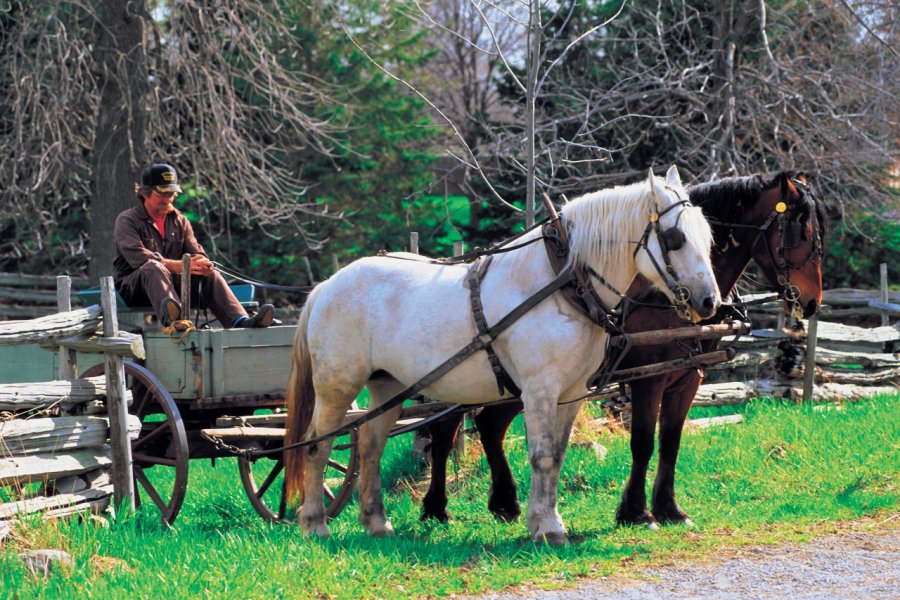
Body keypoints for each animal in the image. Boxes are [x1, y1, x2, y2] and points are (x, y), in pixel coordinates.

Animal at [284, 164, 720, 544]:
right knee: (317, 445)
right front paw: (546, 529)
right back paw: (315, 524)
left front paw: (549, 520)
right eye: (675, 238)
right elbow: (542, 456)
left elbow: (557, 455)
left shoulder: (571, 394)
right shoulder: (539, 391)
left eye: (709, 238)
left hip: (387, 387)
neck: (563, 283)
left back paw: (377, 523)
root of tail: (325, 286)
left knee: (371, 446)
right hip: (337, 388)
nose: (709, 301)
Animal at [424, 171, 828, 528]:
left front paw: (669, 509)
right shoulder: (648, 380)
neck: (660, 296)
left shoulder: (688, 377)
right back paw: (436, 507)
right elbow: (643, 442)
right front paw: (636, 512)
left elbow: (670, 442)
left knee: (489, 426)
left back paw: (504, 502)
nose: (811, 302)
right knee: (445, 430)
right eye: (800, 230)